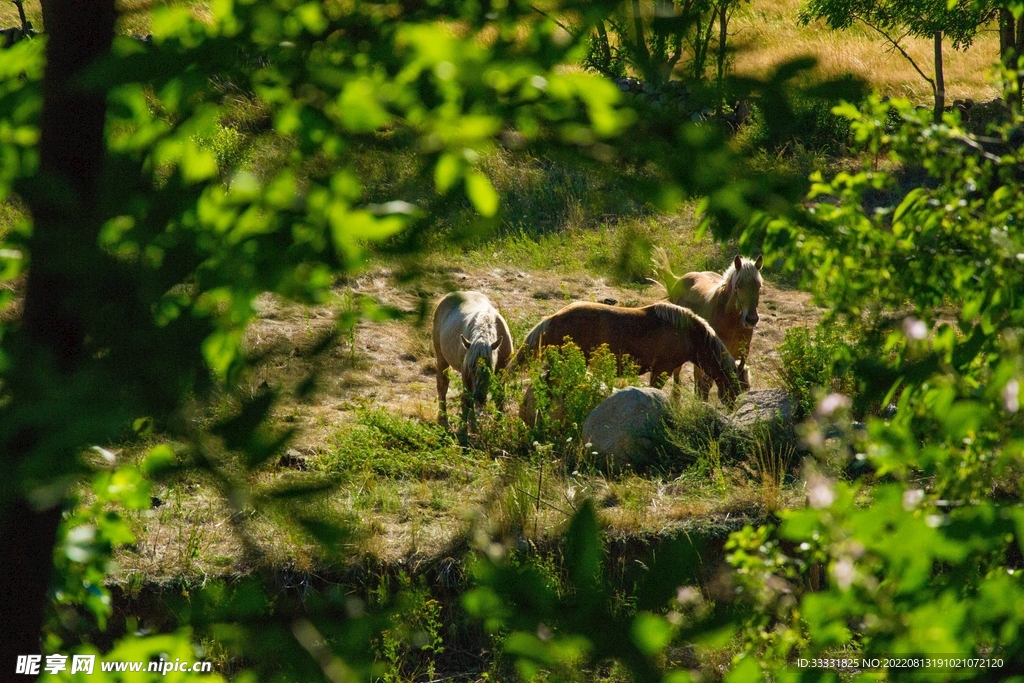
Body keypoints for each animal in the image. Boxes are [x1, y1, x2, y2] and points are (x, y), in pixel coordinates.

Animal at [431, 291, 514, 427]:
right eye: (471, 368)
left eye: (489, 369)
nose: (479, 397)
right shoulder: (466, 372)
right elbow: (466, 399)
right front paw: (465, 429)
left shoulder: (501, 371)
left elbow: (500, 397)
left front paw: (498, 425)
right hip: (441, 357)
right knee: (443, 385)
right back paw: (443, 419)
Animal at [651, 249, 762, 399]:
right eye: (738, 286)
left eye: (759, 286)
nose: (751, 319)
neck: (731, 321)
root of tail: (678, 280)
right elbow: (707, 384)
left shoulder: (738, 354)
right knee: (678, 374)